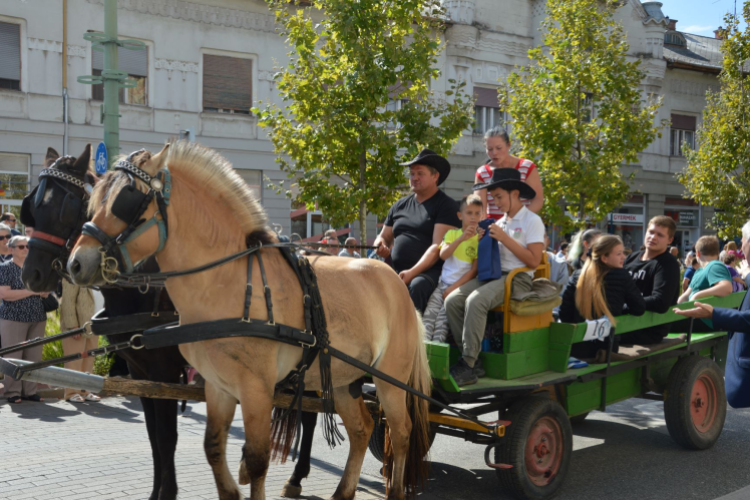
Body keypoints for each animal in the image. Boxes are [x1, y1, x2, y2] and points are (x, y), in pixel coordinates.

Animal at [70, 142, 434, 500]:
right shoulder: (216, 385)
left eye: (127, 198)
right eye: (94, 201)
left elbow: (256, 460)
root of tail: (395, 281)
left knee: (400, 433)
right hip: (344, 379)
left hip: (389, 380)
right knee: (362, 429)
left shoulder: (255, 389)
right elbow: (213, 449)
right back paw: (342, 491)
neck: (228, 283)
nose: (76, 263)